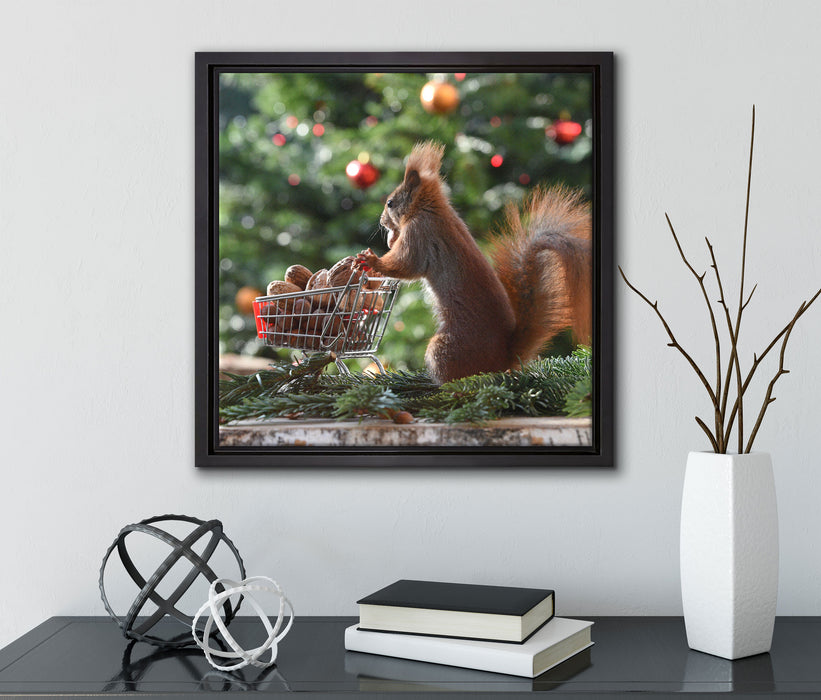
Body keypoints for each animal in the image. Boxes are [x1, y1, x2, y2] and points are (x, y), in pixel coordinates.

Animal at [356, 141, 592, 384]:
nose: (382, 221)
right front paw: (390, 240)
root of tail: (503, 359)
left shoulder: (420, 233)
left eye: (390, 203)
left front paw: (372, 259)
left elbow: (406, 264)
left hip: (444, 349)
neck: (430, 209)